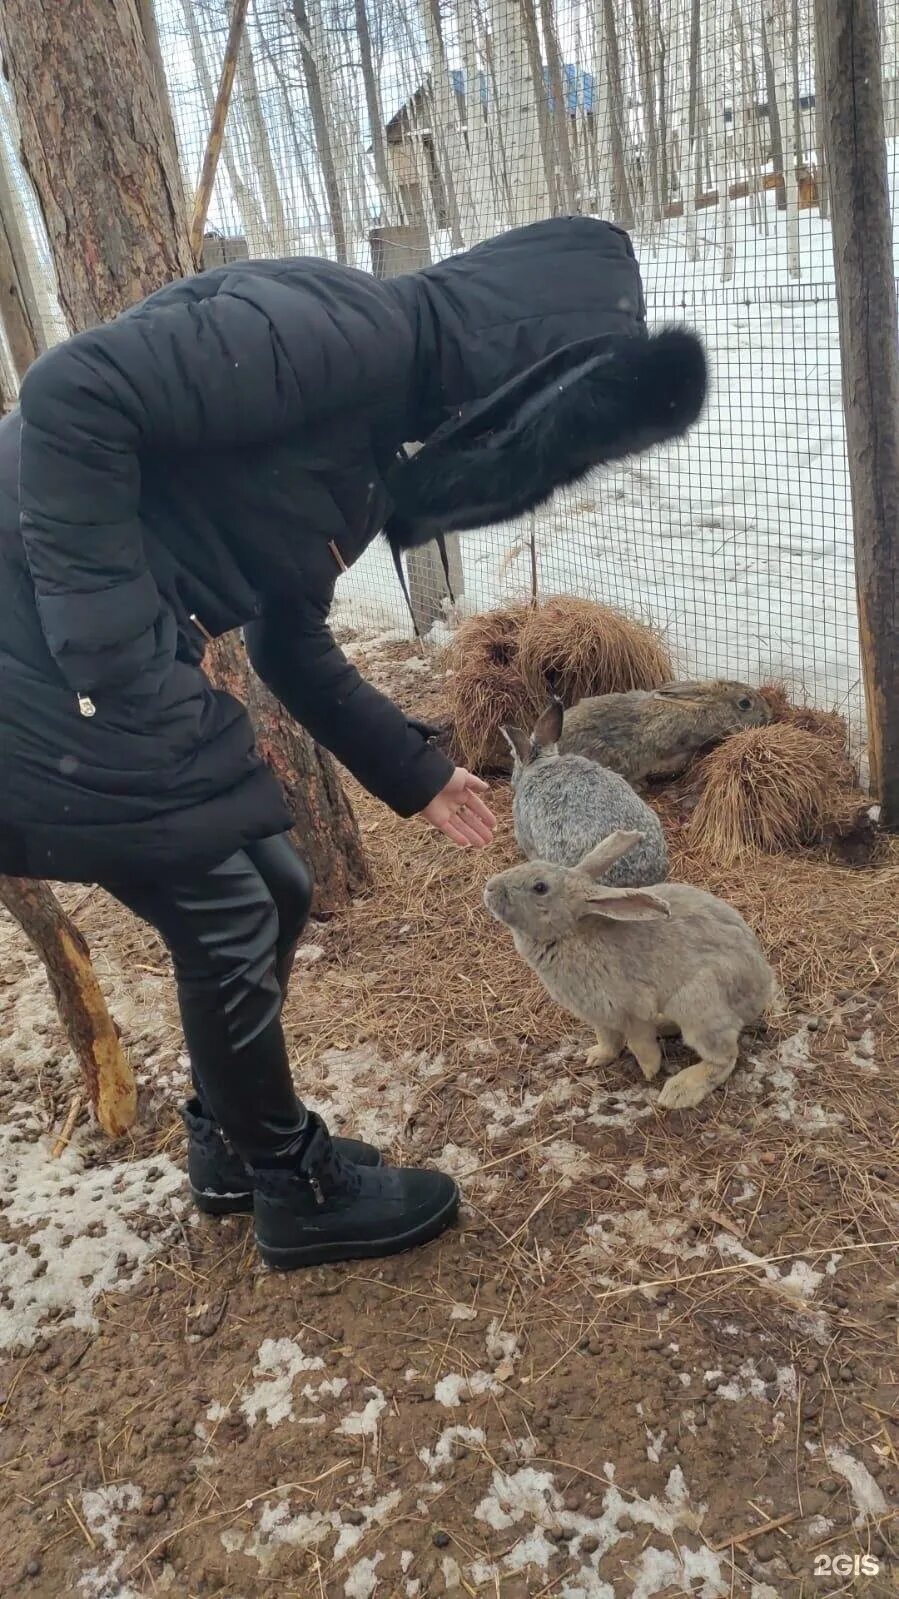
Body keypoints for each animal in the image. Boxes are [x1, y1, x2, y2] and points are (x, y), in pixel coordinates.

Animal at [483, 831, 771, 1106]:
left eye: (540, 887)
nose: (489, 888)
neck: (569, 932)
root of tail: (762, 989)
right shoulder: (599, 1017)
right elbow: (608, 1040)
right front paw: (595, 1058)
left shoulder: (631, 1011)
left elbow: (638, 1042)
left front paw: (650, 1071)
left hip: (699, 1006)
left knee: (724, 1058)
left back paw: (678, 1092)